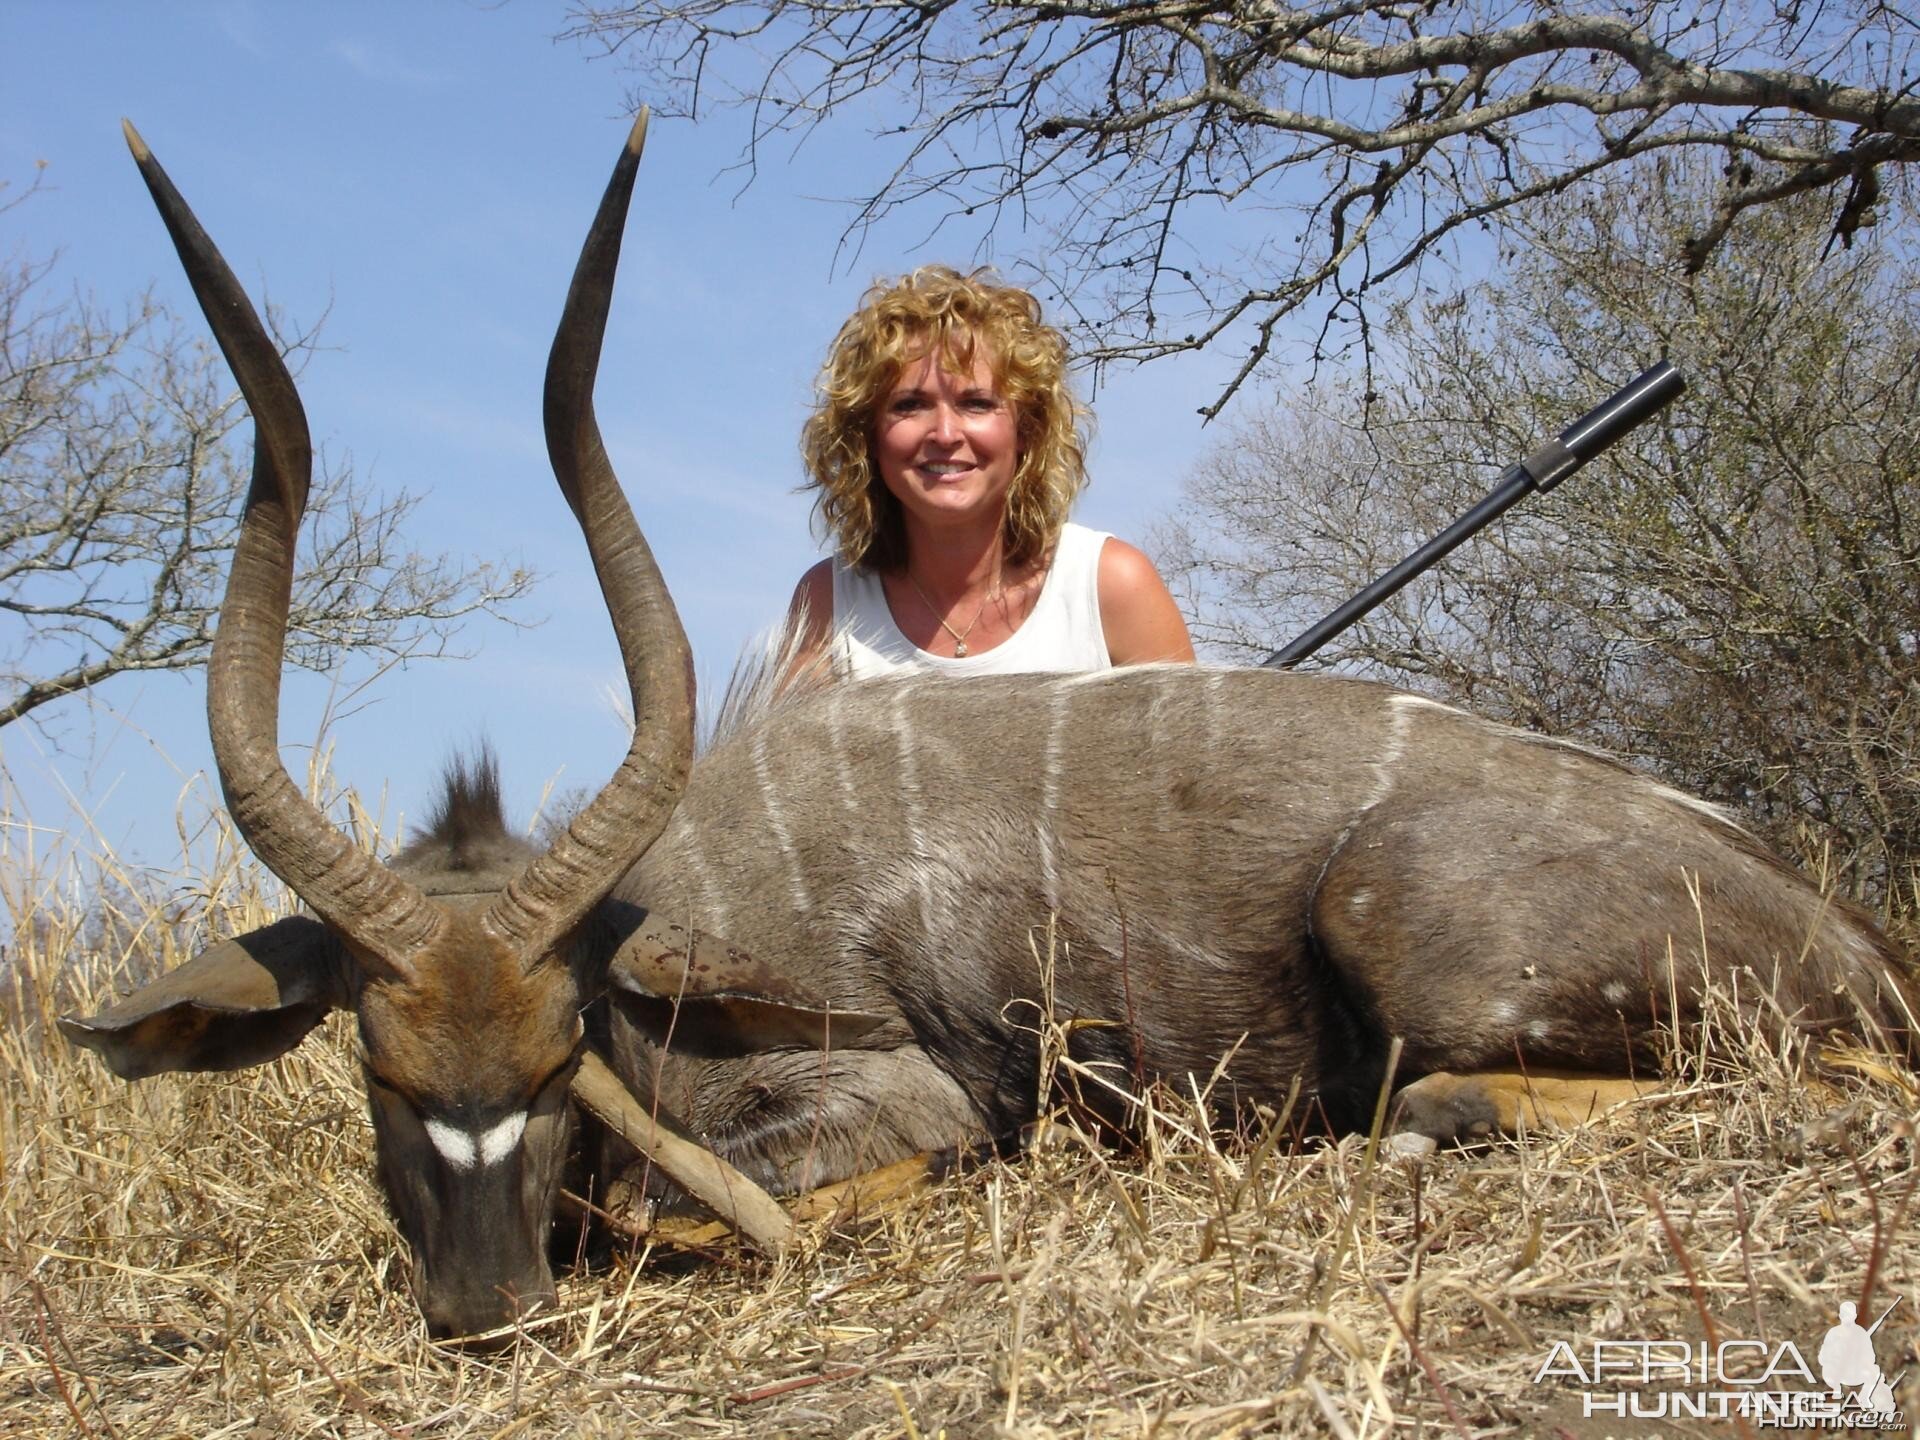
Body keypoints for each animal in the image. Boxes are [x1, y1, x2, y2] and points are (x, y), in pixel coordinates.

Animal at [60, 118, 1920, 1351]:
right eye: (379, 1070)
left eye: (557, 1050)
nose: (485, 1311)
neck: (664, 921)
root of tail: (1840, 924)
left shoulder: (892, 1095)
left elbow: (678, 1204)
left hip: (1432, 941)